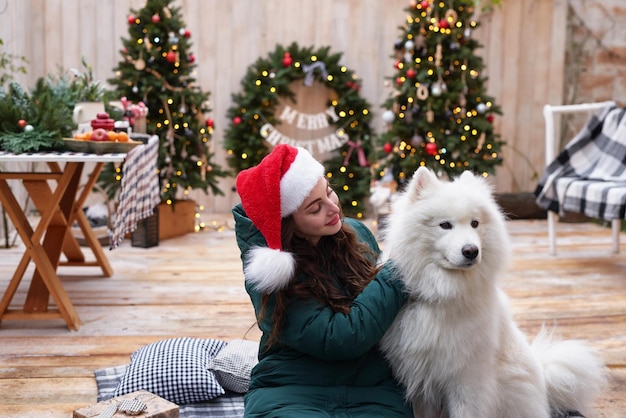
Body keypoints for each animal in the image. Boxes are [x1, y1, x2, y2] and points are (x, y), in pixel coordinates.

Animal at [378, 167, 604, 418]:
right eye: (445, 225)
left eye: (475, 223)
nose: (471, 251)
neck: (442, 293)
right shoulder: (420, 380)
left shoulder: (467, 379)